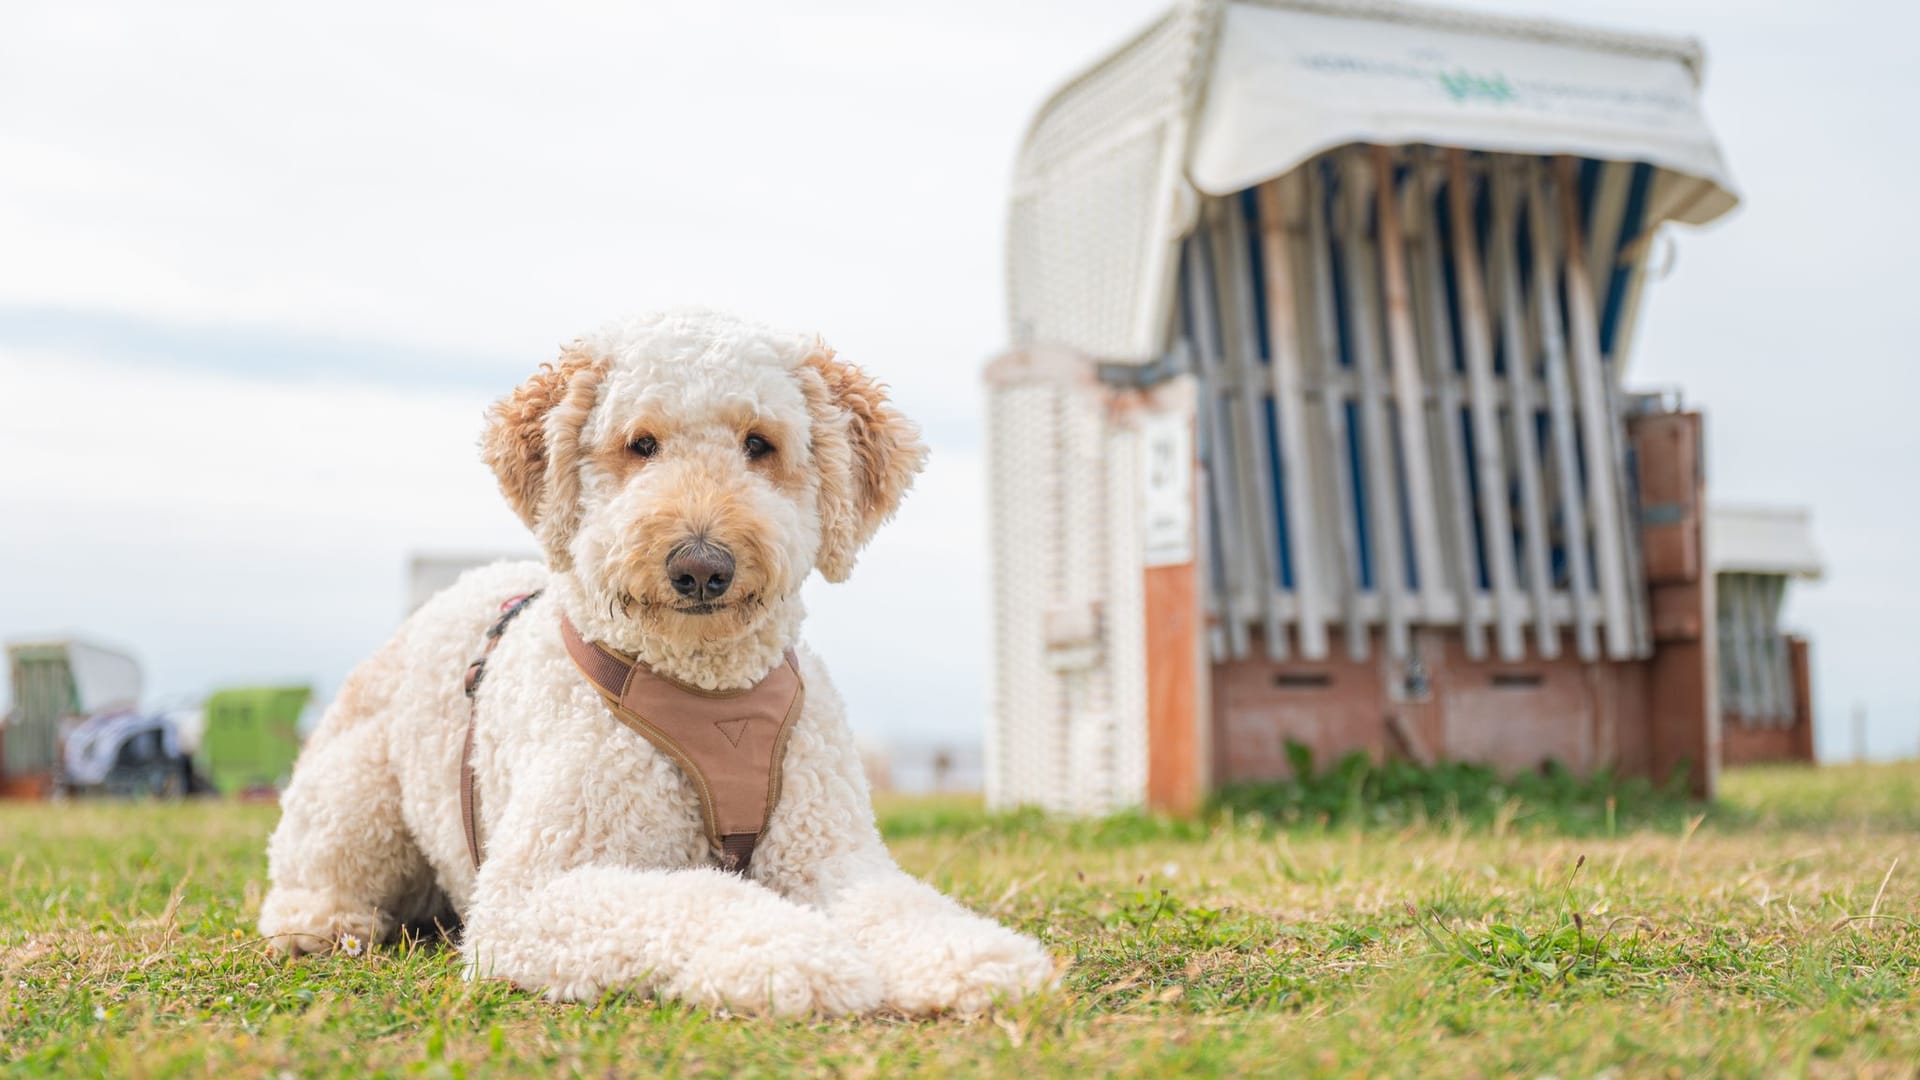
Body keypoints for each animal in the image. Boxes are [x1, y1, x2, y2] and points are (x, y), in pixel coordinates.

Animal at [257, 307, 1059, 1014]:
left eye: (759, 443)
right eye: (641, 444)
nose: (701, 565)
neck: (708, 689)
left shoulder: (830, 854)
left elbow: (896, 905)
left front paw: (976, 957)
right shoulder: (533, 893)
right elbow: (701, 897)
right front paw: (791, 955)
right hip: (354, 798)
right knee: (307, 879)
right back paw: (323, 924)